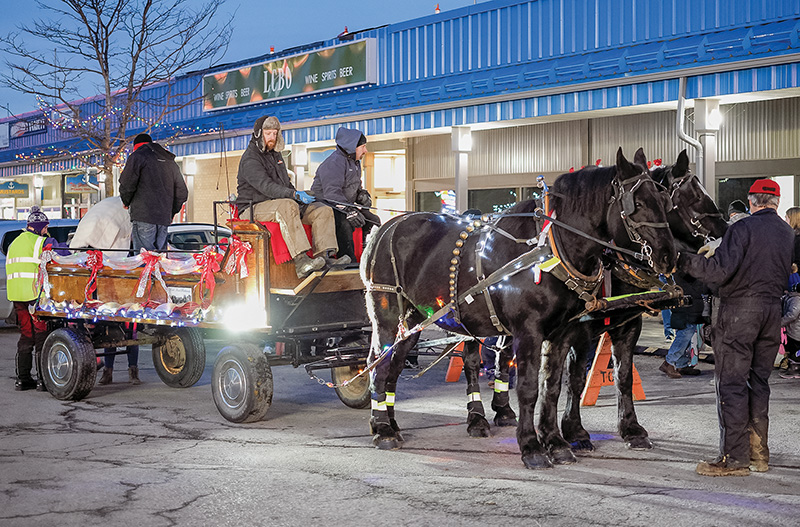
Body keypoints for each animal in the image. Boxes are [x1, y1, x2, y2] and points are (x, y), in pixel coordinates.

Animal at [360, 147, 680, 470]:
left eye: (664, 202)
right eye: (638, 204)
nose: (668, 256)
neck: (551, 247)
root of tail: (385, 227)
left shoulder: (565, 332)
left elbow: (553, 386)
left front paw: (556, 442)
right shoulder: (531, 331)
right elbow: (529, 388)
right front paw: (532, 446)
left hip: (415, 318)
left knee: (395, 363)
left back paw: (389, 422)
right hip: (387, 312)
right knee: (378, 362)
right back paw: (383, 429)